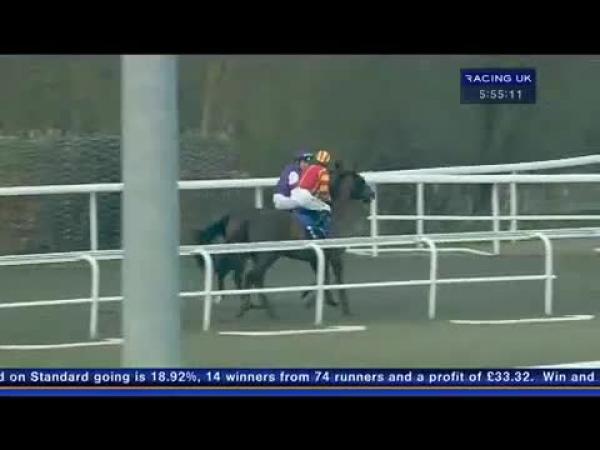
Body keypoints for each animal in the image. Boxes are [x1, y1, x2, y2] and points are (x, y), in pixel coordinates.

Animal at [194, 162, 374, 317]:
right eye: (361, 180)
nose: (372, 194)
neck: (333, 215)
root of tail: (244, 216)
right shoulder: (335, 256)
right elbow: (336, 279)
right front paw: (344, 308)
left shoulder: (317, 257)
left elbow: (322, 277)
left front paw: (319, 299)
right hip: (267, 255)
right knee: (251, 275)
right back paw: (256, 307)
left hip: (253, 253)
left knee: (248, 275)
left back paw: (254, 305)